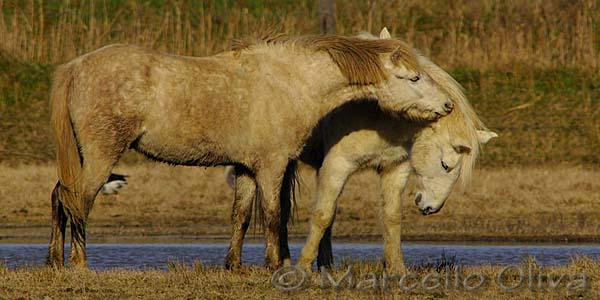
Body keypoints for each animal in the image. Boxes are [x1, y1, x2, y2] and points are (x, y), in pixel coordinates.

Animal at [48, 31, 450, 270]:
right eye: (414, 77)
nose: (446, 106)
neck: (291, 81)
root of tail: (76, 66)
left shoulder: (244, 168)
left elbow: (240, 215)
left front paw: (234, 266)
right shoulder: (272, 166)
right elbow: (273, 214)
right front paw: (277, 265)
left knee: (58, 197)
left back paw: (55, 261)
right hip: (101, 156)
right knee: (78, 201)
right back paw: (79, 264)